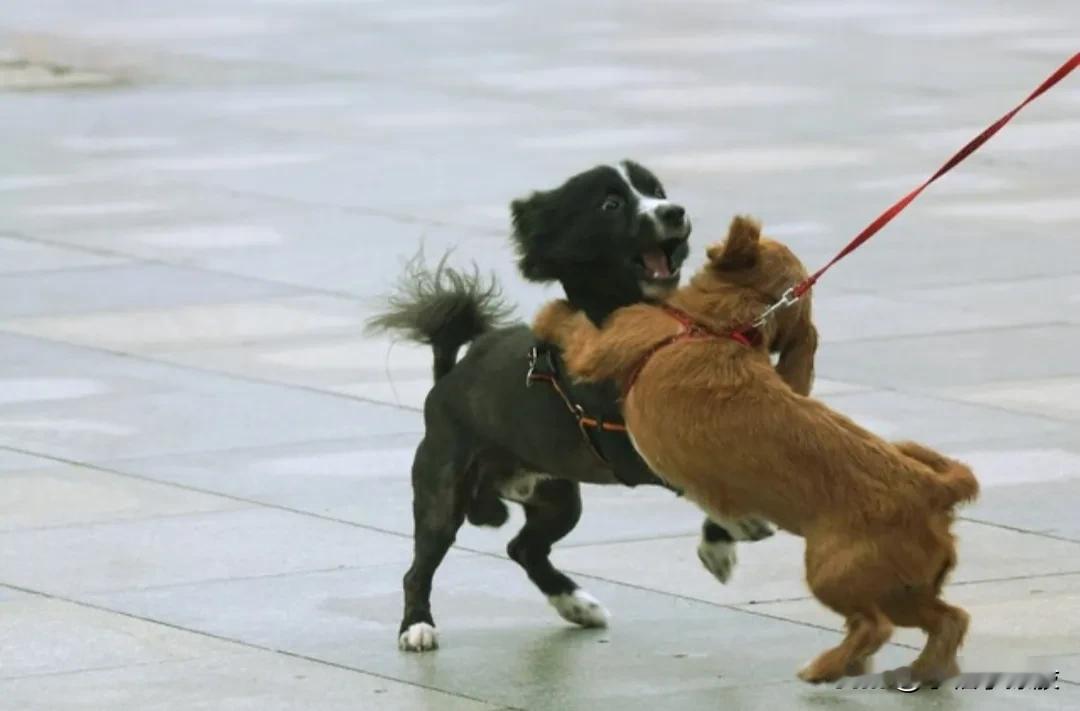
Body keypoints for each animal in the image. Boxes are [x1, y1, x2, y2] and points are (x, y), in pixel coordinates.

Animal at [367, 161, 773, 648]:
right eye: (611, 204)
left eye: (657, 191)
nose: (673, 211)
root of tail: (448, 376)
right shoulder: (629, 446)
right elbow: (699, 480)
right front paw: (731, 532)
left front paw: (725, 535)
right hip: (444, 490)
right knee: (420, 567)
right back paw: (417, 626)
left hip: (558, 498)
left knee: (523, 547)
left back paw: (577, 605)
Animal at [533, 215, 980, 682]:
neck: (716, 326)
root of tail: (933, 490)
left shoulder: (602, 346)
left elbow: (572, 326)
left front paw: (549, 311)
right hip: (903, 587)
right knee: (949, 618)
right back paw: (924, 669)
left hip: (834, 572)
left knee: (875, 626)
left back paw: (827, 667)